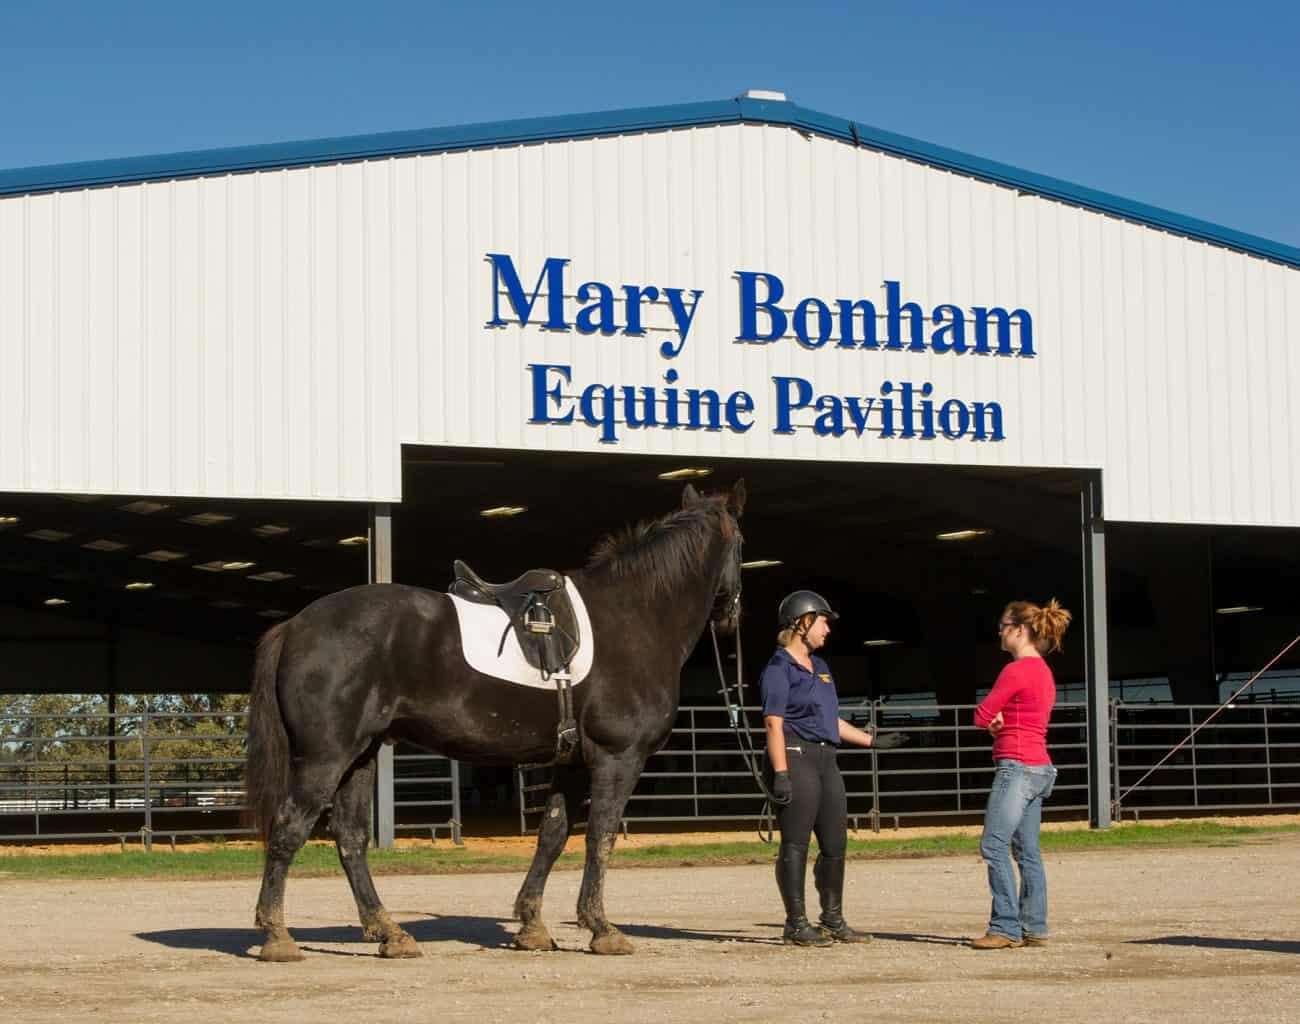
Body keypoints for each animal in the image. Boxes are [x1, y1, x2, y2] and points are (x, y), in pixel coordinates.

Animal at [246, 480, 748, 961]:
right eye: (743, 542)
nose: (731, 618)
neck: (633, 616)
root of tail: (295, 626)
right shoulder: (617, 757)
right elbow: (600, 837)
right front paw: (602, 929)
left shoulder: (571, 762)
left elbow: (552, 835)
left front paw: (532, 926)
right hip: (325, 758)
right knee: (290, 827)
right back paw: (278, 936)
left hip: (359, 755)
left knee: (349, 838)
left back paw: (390, 934)